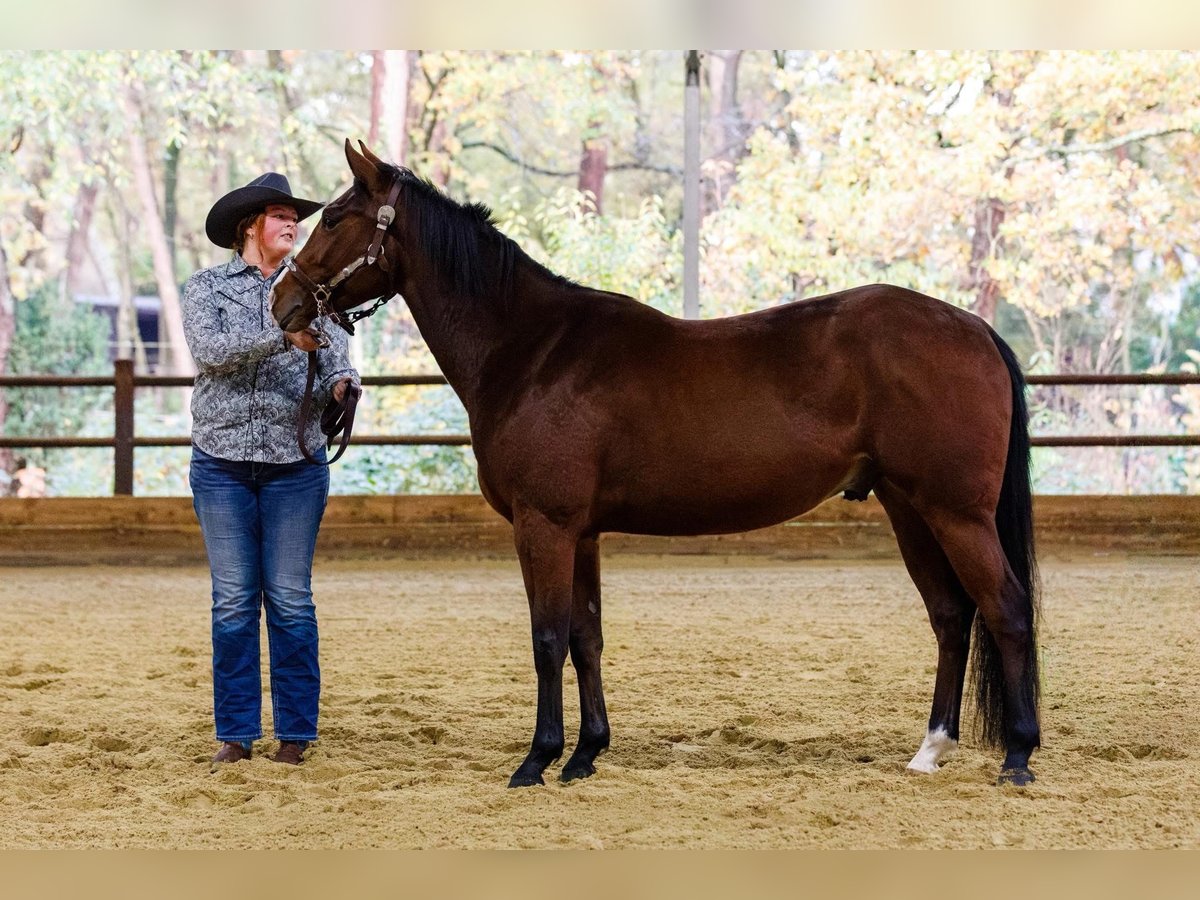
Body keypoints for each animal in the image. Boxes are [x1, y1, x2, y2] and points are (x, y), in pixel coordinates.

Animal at [271, 140, 1041, 788]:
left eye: (335, 218)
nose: (283, 301)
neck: (532, 349)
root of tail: (974, 328)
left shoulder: (544, 525)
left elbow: (547, 638)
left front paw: (537, 760)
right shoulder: (580, 531)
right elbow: (586, 637)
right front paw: (585, 755)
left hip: (956, 512)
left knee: (1005, 608)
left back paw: (1018, 757)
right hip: (910, 507)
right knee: (951, 615)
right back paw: (931, 749)